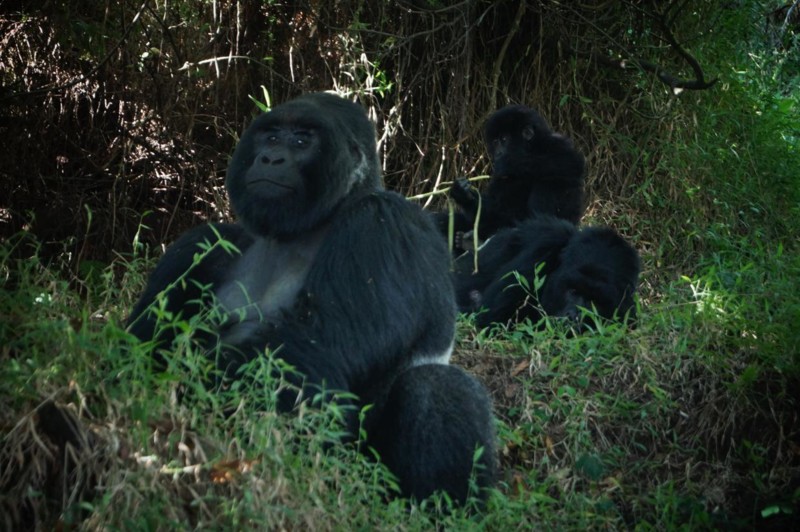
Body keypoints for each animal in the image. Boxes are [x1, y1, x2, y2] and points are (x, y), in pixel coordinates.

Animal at [126, 93, 494, 504]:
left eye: (302, 141)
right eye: (271, 137)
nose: (270, 158)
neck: (306, 227)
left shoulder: (384, 222)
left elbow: (313, 350)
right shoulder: (200, 244)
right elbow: (144, 338)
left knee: (434, 385)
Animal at [440, 106, 584, 254]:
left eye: (504, 139)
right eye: (495, 142)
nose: (498, 153)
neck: (532, 148)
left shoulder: (558, 143)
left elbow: (569, 161)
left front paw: (509, 162)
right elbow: (493, 209)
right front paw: (463, 194)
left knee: (552, 181)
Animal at [454, 215, 640, 328]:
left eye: (594, 301)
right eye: (573, 291)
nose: (573, 316)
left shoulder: (627, 313)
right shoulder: (542, 248)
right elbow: (494, 321)